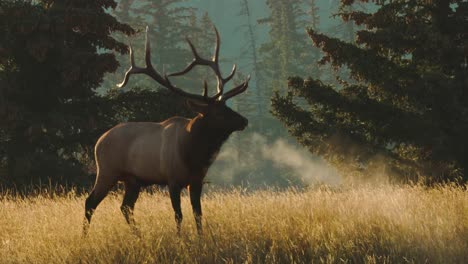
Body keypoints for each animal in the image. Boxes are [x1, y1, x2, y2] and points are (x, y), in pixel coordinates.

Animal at [84, 27, 252, 235]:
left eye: (228, 106)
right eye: (219, 113)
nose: (244, 120)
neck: (193, 155)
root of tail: (98, 142)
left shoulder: (196, 181)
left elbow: (198, 214)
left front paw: (201, 238)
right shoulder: (172, 180)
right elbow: (178, 215)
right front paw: (181, 238)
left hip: (133, 180)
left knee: (125, 207)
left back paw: (138, 236)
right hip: (107, 171)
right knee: (90, 202)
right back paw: (85, 236)